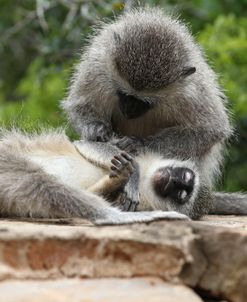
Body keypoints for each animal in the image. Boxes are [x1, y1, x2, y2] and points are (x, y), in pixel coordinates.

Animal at [61, 7, 247, 215]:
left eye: (145, 102)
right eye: (123, 94)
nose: (128, 110)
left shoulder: (193, 91)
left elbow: (211, 130)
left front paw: (139, 144)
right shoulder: (97, 65)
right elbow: (79, 104)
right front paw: (95, 129)